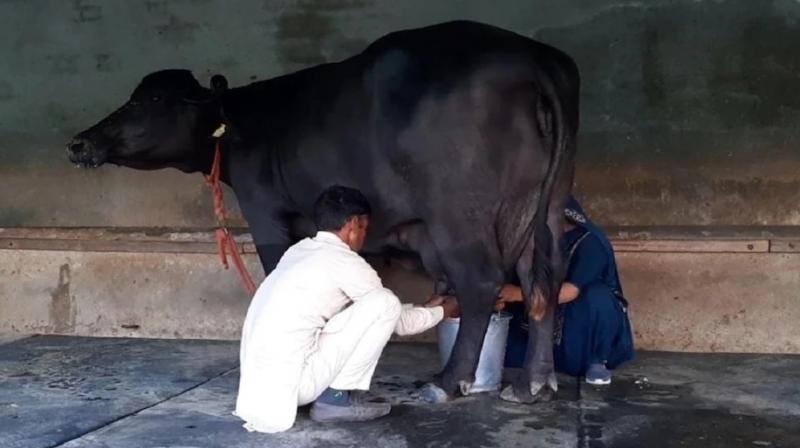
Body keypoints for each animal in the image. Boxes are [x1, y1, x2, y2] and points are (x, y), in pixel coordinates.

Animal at [69, 20, 580, 402]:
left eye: (150, 100)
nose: (79, 142)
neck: (245, 123)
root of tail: (533, 59)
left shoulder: (265, 211)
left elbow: (277, 273)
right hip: (545, 207)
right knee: (544, 280)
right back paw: (535, 382)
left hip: (460, 214)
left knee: (481, 281)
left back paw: (449, 381)